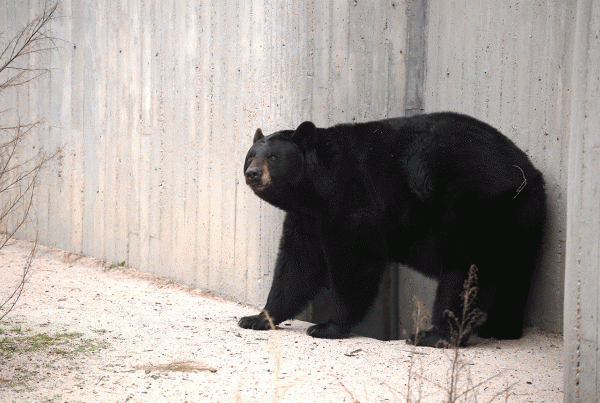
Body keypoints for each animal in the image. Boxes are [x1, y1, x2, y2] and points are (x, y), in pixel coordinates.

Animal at [237, 113, 548, 348]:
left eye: (274, 157)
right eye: (251, 155)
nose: (252, 173)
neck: (317, 188)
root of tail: (525, 174)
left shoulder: (355, 199)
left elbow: (355, 262)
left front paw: (327, 327)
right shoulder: (307, 217)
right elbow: (298, 265)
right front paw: (257, 318)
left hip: (474, 206)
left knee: (464, 272)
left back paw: (434, 335)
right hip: (521, 219)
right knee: (515, 274)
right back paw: (501, 328)